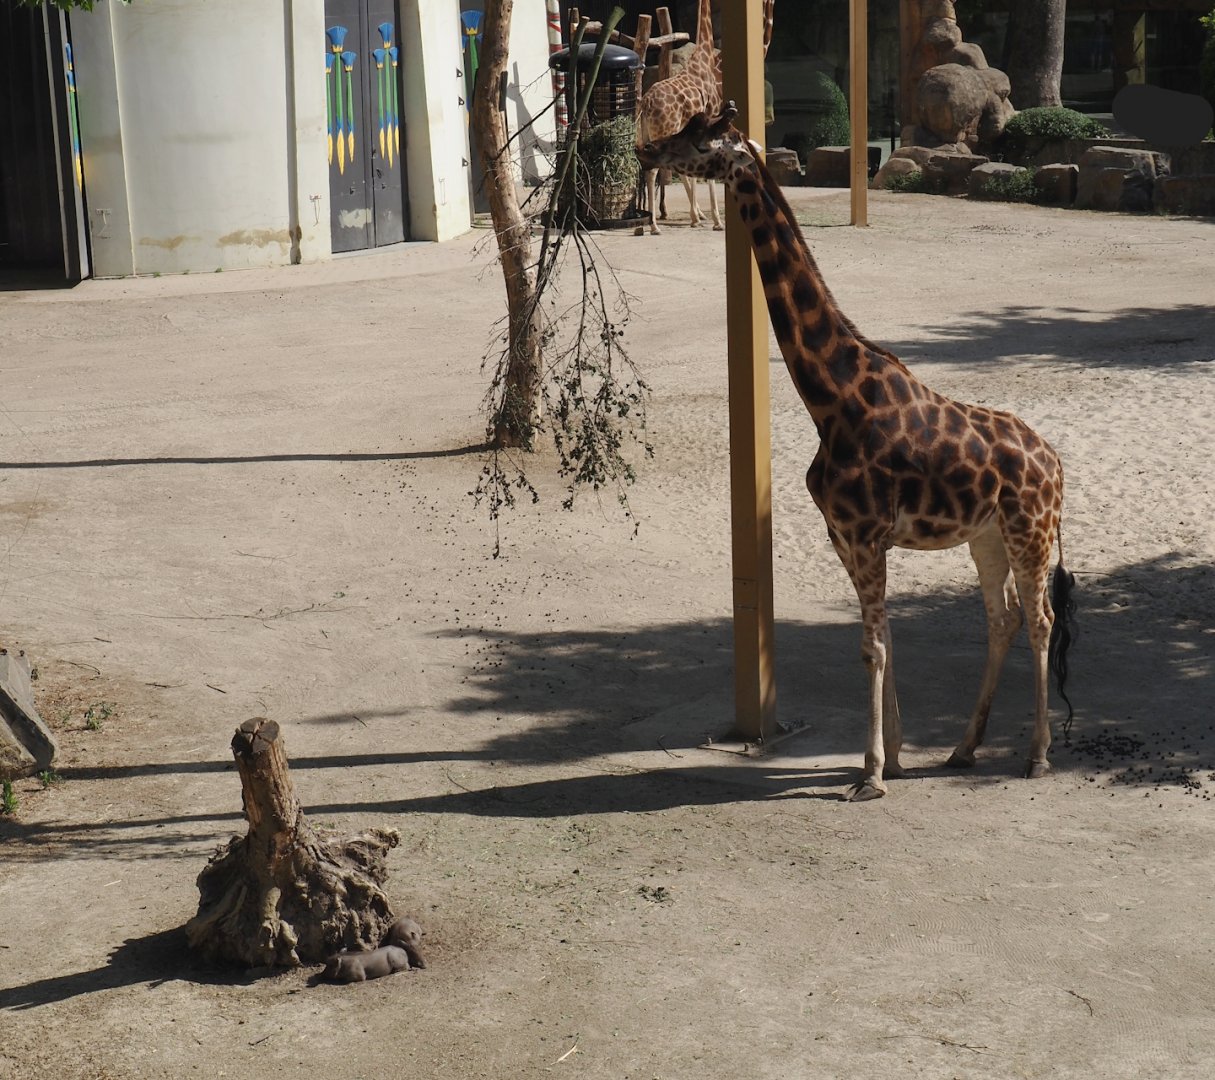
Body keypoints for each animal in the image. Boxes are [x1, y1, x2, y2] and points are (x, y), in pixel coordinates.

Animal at [633, 0, 774, 235]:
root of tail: (645, 104)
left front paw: (700, 216)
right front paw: (715, 220)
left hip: (648, 134)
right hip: (663, 131)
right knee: (656, 170)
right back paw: (655, 225)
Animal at [638, 106, 1077, 801]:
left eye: (699, 138)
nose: (647, 151)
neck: (832, 398)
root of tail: (1056, 462)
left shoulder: (868, 534)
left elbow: (873, 646)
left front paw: (870, 773)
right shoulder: (843, 536)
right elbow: (882, 639)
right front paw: (892, 759)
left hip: (1029, 531)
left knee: (1039, 620)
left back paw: (1036, 757)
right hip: (987, 535)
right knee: (1001, 618)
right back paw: (963, 748)